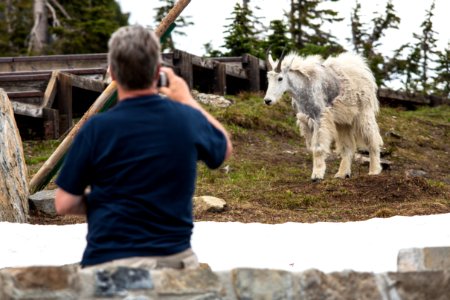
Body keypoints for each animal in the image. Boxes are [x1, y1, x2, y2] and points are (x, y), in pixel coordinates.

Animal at [264, 50, 384, 182]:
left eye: (280, 78)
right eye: (268, 78)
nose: (267, 100)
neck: (304, 88)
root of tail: (364, 70)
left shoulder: (320, 118)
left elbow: (318, 148)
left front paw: (317, 176)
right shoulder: (306, 121)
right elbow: (313, 148)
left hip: (363, 113)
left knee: (372, 139)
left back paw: (374, 171)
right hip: (343, 122)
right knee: (347, 146)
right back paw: (342, 173)